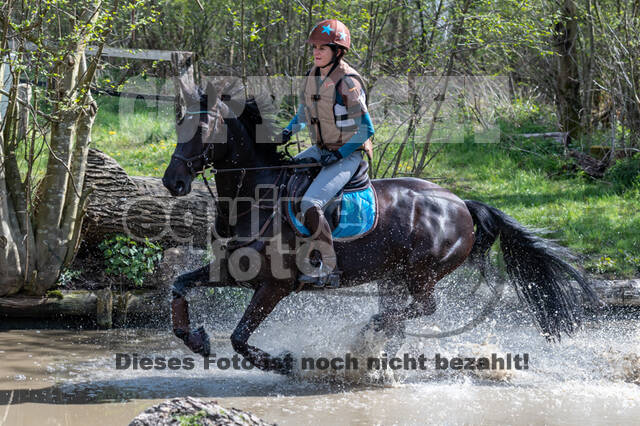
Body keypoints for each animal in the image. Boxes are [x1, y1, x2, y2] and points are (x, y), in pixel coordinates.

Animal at [161, 79, 600, 372]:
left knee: (423, 307)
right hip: (392, 275)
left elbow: (239, 338)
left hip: (422, 271)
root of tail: (461, 203)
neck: (257, 196)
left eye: (203, 129)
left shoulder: (274, 286)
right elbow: (179, 285)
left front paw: (281, 363)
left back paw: (369, 330)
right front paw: (196, 339)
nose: (172, 182)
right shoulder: (233, 270)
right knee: (402, 315)